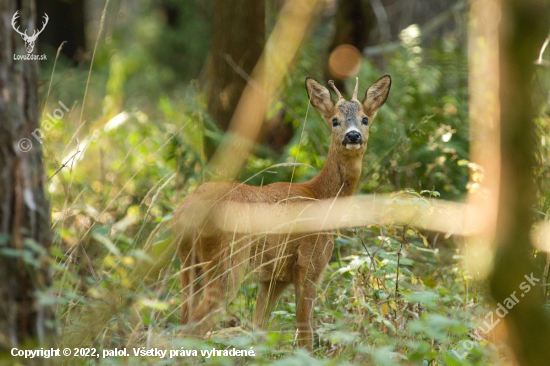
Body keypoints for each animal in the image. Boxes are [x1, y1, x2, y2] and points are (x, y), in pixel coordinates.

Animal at [172, 75, 392, 348]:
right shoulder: (310, 261)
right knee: (192, 329)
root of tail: (187, 209)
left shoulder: (274, 277)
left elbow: (258, 329)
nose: (353, 136)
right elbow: (304, 330)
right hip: (227, 260)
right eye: (334, 120)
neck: (320, 196)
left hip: (188, 261)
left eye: (364, 119)